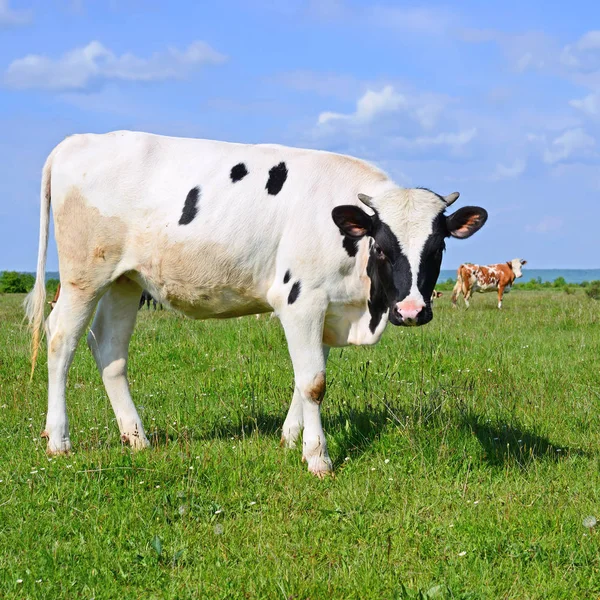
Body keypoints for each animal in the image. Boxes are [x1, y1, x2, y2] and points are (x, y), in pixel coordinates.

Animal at [24, 132, 488, 478]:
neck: (362, 309)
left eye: (438, 246)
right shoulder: (301, 298)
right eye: (383, 247)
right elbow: (314, 383)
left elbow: (305, 377)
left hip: (124, 280)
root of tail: (79, 140)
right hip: (84, 275)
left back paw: (136, 437)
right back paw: (59, 440)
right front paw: (317, 457)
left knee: (109, 350)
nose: (411, 311)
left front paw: (289, 438)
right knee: (61, 339)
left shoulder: (325, 311)